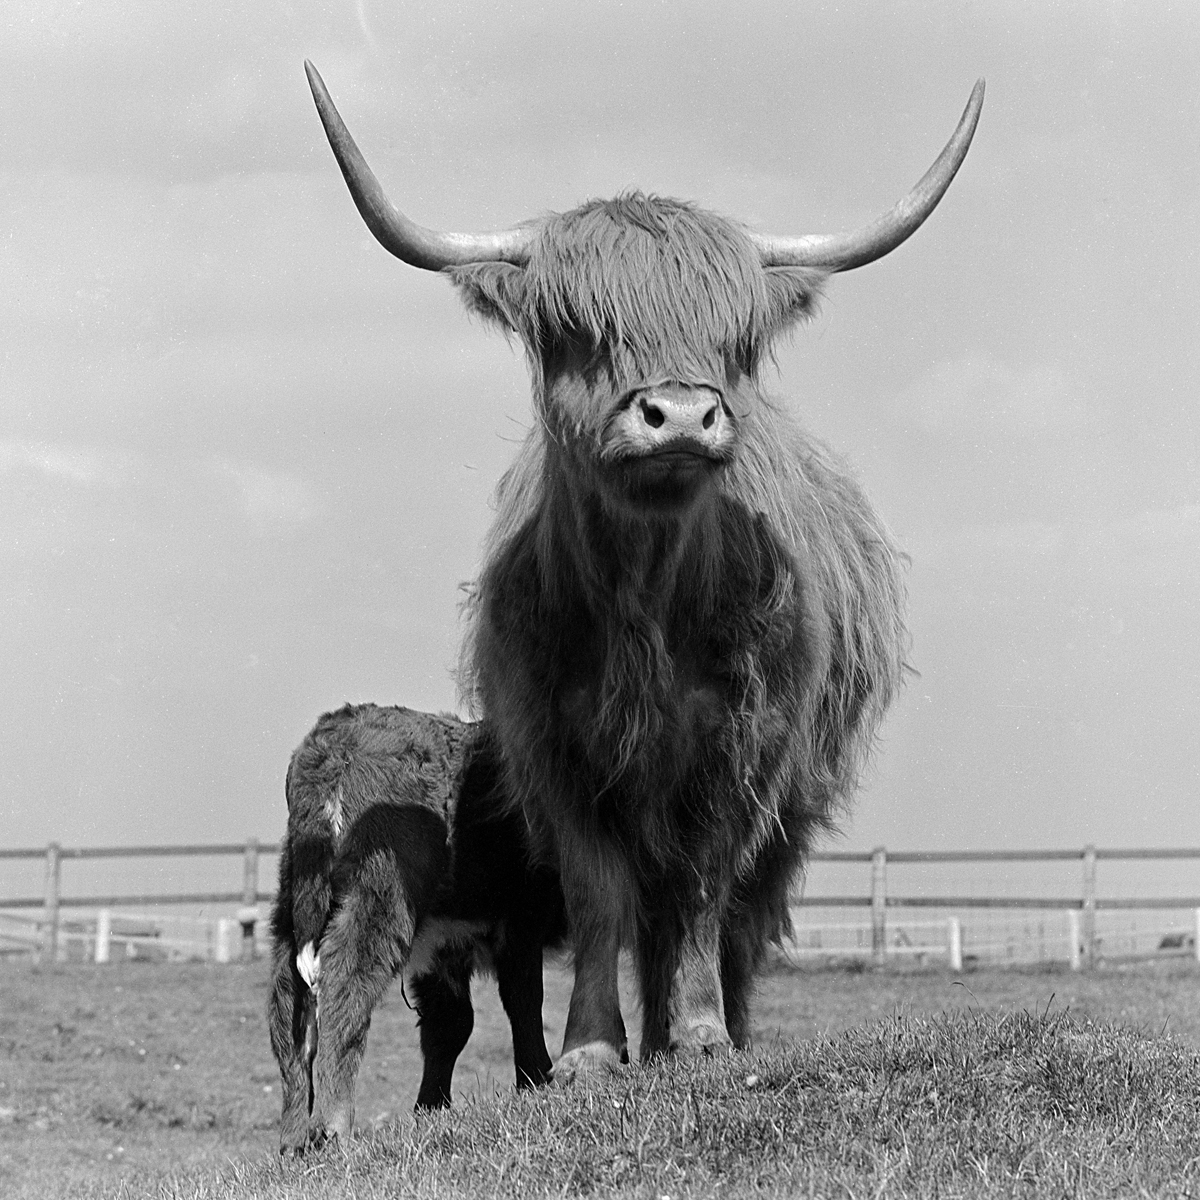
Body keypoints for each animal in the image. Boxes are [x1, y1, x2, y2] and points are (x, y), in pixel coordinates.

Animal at [267, 703, 566, 1152]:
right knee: (344, 987)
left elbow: (450, 1024)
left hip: (293, 915)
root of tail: (332, 740)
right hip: (379, 900)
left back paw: (293, 1139)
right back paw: (332, 1127)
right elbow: (524, 1001)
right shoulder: (519, 918)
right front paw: (536, 1080)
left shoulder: (446, 943)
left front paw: (431, 1110)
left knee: (290, 1016)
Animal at [303, 63, 983, 1081]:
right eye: (578, 329)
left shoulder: (738, 751)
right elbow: (600, 897)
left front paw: (700, 1037)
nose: (682, 414)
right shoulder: (555, 751)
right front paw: (592, 1047)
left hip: (796, 799)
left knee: (736, 918)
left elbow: (701, 893)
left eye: (737, 341)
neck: (645, 602)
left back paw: (714, 1030)